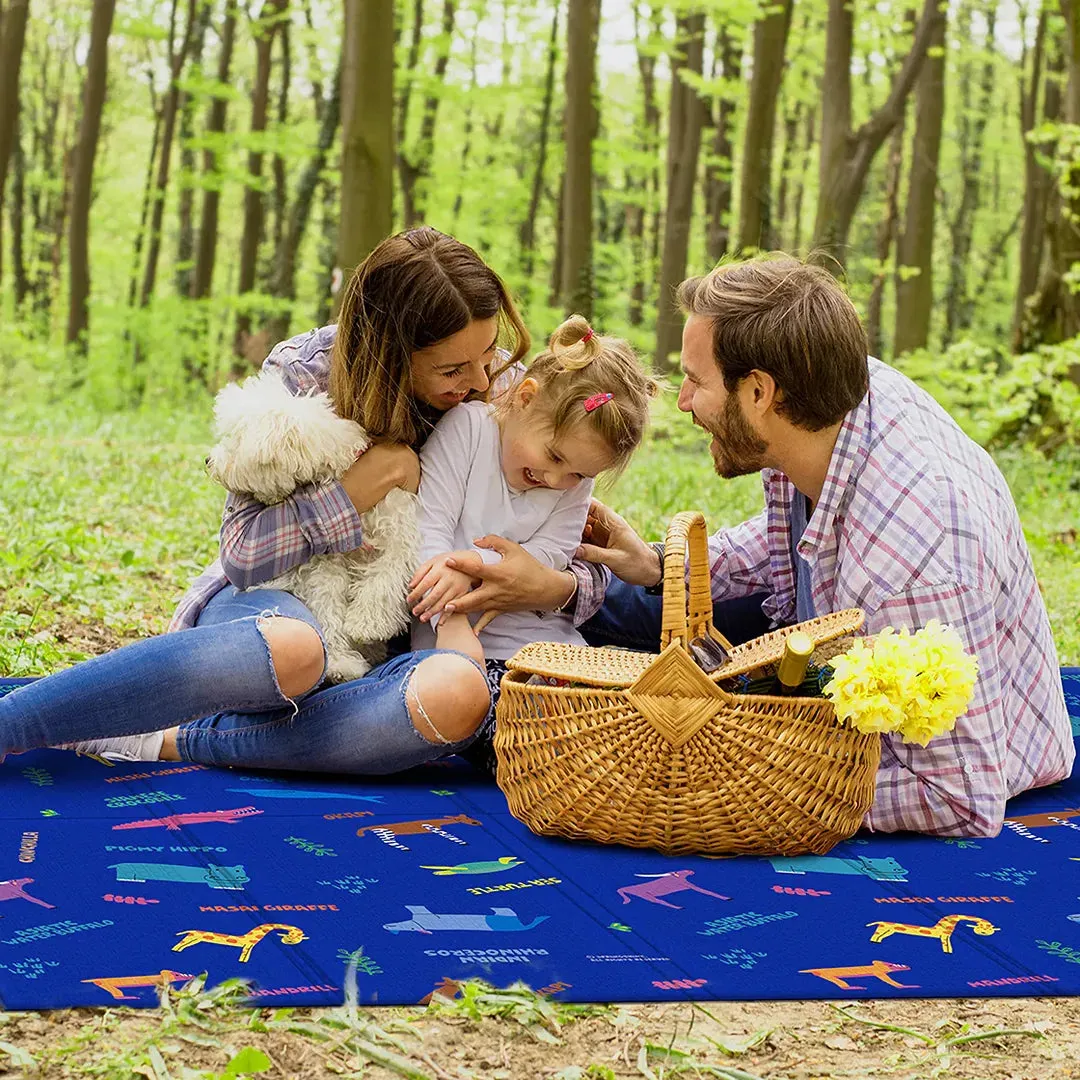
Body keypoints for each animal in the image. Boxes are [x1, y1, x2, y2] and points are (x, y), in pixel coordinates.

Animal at [205, 367, 416, 678]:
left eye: (235, 442)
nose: (208, 461)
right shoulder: (325, 566)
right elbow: (328, 609)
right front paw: (340, 662)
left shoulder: (399, 536)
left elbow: (384, 578)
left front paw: (366, 624)